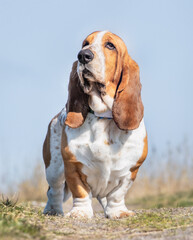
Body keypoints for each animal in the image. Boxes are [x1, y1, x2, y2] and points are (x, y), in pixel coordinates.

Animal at [42, 31, 148, 218]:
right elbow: (80, 192)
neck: (103, 116)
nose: (83, 55)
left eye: (110, 45)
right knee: (54, 191)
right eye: (85, 43)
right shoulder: (73, 165)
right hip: (53, 168)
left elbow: (117, 194)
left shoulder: (131, 169)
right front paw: (80, 213)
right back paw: (53, 210)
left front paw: (118, 212)